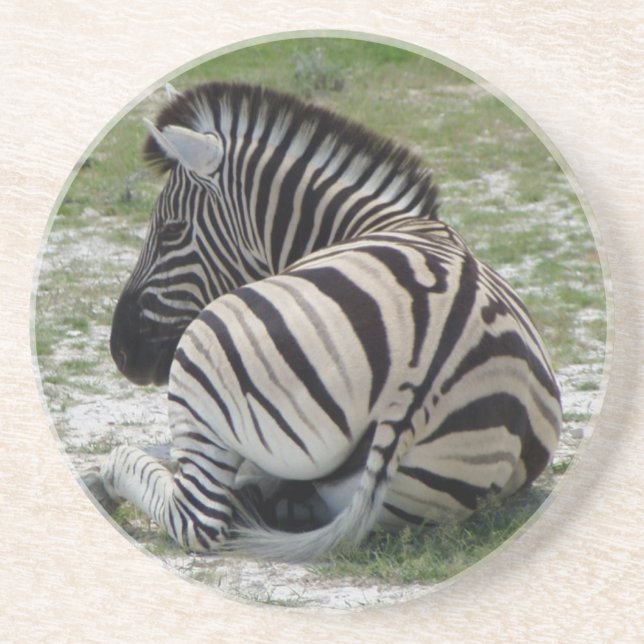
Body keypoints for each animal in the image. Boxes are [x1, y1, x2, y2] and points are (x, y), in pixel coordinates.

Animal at [85, 82, 562, 562]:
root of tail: (419, 381)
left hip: (201, 349)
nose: (121, 351)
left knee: (199, 516)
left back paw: (104, 477)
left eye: (172, 230)